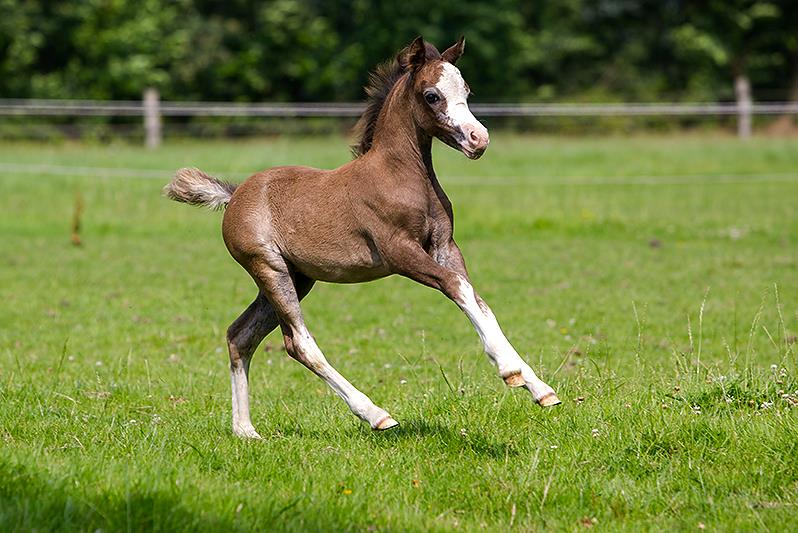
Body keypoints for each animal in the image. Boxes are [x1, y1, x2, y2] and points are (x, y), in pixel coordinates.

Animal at [165, 36, 560, 436]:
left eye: (467, 91)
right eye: (432, 95)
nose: (479, 140)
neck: (401, 176)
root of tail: (234, 195)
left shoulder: (445, 248)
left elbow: (477, 300)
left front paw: (539, 388)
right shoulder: (400, 252)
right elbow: (457, 288)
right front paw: (510, 371)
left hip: (297, 277)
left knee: (240, 335)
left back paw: (245, 430)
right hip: (269, 268)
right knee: (298, 343)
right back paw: (376, 414)